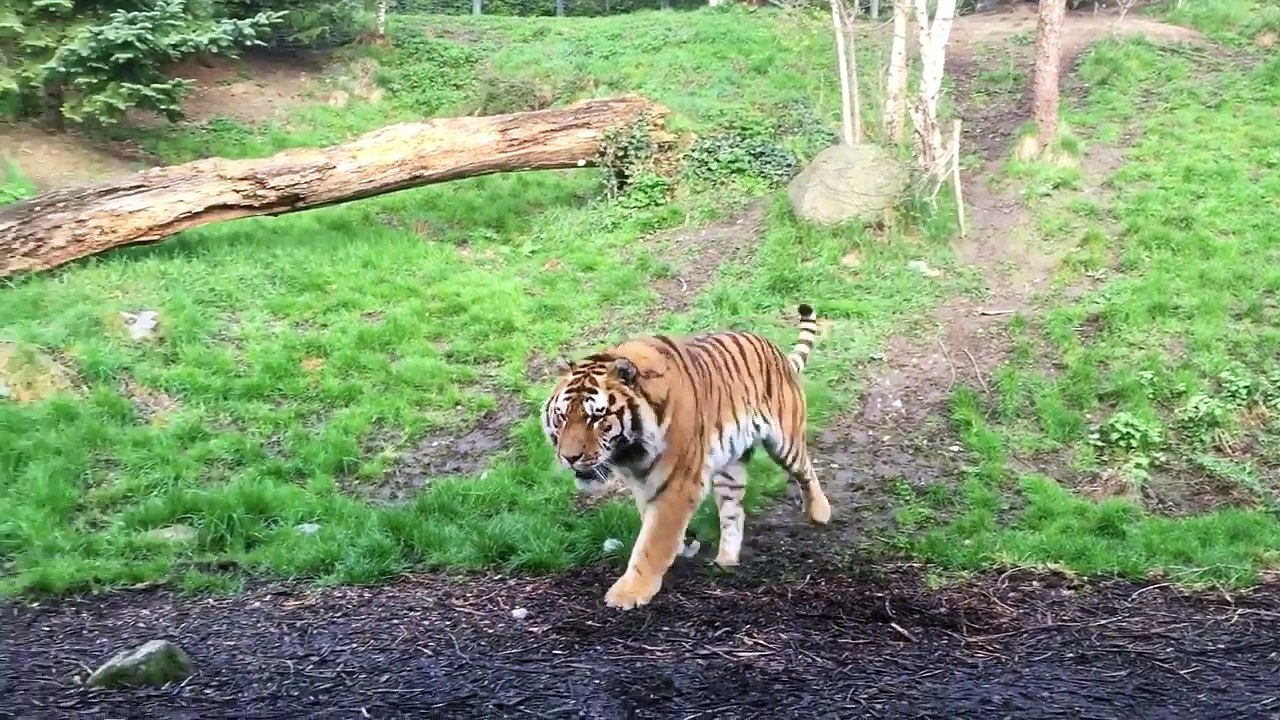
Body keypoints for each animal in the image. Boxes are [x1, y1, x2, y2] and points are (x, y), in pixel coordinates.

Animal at [540, 303, 832, 610]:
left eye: (597, 417)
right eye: (562, 416)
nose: (569, 457)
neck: (631, 454)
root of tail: (776, 351)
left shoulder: (678, 483)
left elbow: (653, 541)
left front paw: (628, 593)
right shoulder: (644, 483)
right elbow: (650, 523)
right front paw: (683, 547)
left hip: (785, 441)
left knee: (806, 471)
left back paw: (820, 512)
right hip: (729, 468)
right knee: (733, 511)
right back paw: (726, 561)